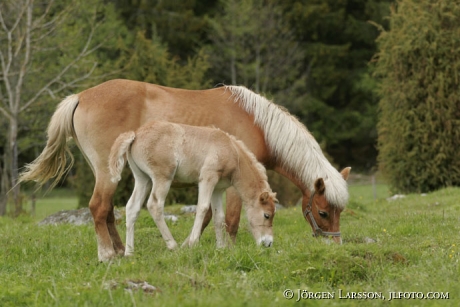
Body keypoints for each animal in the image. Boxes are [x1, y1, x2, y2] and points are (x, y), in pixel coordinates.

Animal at [108, 121, 276, 256]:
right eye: (267, 215)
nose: (268, 243)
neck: (232, 151)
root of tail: (136, 134)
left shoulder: (218, 188)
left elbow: (219, 216)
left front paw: (221, 248)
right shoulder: (208, 178)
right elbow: (202, 208)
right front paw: (193, 243)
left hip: (143, 179)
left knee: (132, 207)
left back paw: (129, 252)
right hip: (162, 177)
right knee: (154, 205)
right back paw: (173, 246)